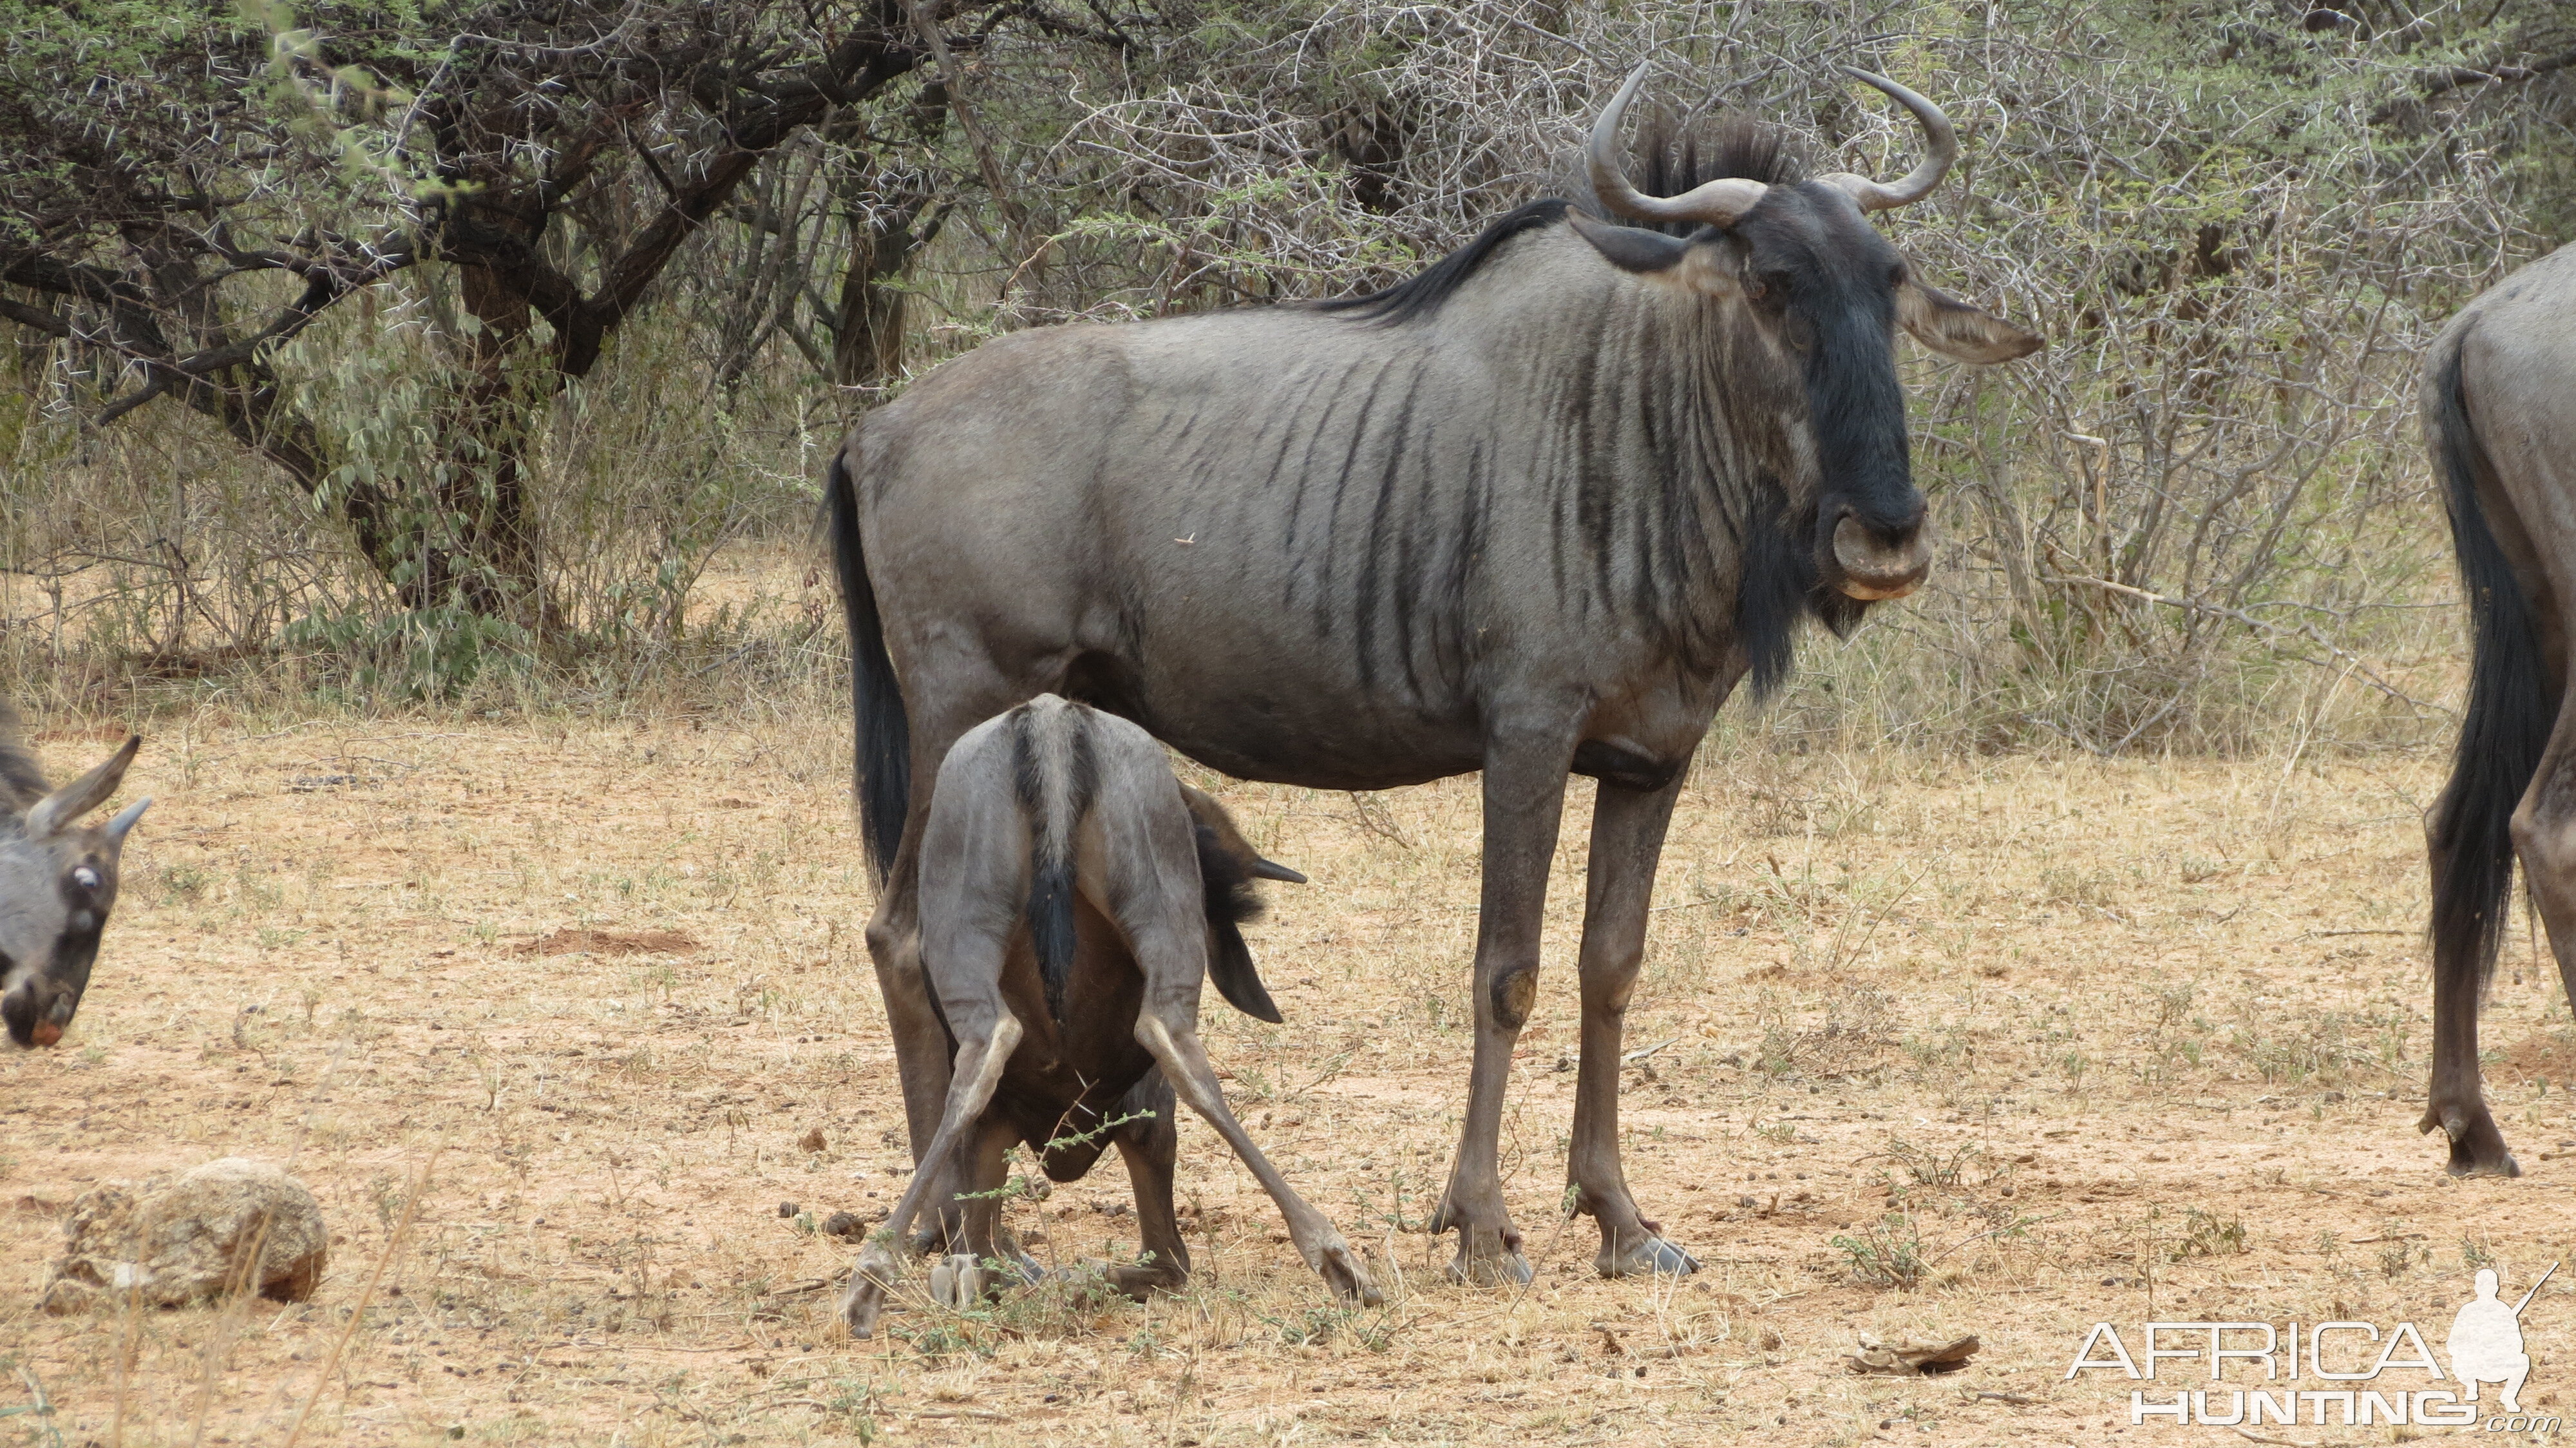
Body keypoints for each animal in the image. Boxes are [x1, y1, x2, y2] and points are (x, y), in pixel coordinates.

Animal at [840, 685, 1370, 1329]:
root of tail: (1050, 719)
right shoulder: (1141, 1113)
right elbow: (1166, 1258)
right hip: (1150, 896)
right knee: (1162, 1042)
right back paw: (1335, 1254)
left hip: (975, 909)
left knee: (991, 1051)